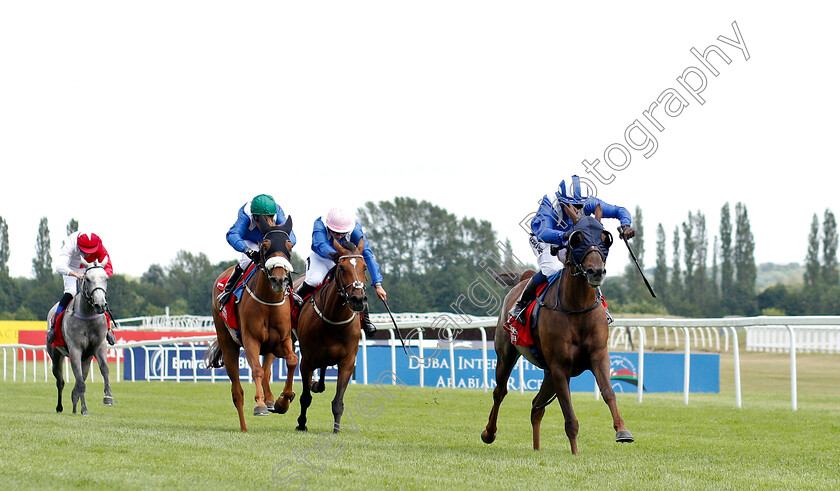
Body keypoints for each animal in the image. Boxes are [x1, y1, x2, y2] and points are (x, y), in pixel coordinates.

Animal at [46, 260, 113, 418]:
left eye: (106, 278)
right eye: (87, 279)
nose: (100, 304)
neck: (88, 315)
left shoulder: (99, 346)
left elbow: (104, 370)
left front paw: (108, 397)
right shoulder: (75, 349)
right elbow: (80, 381)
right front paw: (85, 409)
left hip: (86, 358)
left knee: (81, 376)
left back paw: (75, 404)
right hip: (55, 355)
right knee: (60, 381)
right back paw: (60, 407)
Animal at [206, 217, 298, 432]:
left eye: (289, 245)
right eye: (265, 246)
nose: (279, 279)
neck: (268, 301)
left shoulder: (282, 340)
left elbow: (291, 360)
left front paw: (283, 400)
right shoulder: (250, 339)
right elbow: (256, 370)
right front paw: (260, 405)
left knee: (267, 371)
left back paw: (272, 400)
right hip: (227, 342)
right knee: (237, 391)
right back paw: (244, 426)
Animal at [296, 238, 368, 434]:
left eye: (365, 267)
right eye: (341, 268)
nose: (358, 299)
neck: (334, 321)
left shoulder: (347, 362)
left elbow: (338, 401)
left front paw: (336, 430)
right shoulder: (306, 361)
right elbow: (305, 397)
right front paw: (301, 423)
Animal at [482, 203, 632, 454]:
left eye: (605, 238)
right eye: (577, 239)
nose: (596, 271)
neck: (577, 308)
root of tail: (522, 279)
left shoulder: (597, 355)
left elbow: (609, 392)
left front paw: (622, 430)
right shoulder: (560, 366)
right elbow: (570, 416)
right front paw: (575, 453)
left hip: (548, 372)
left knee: (536, 406)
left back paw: (536, 448)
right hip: (507, 354)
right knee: (500, 392)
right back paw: (489, 433)